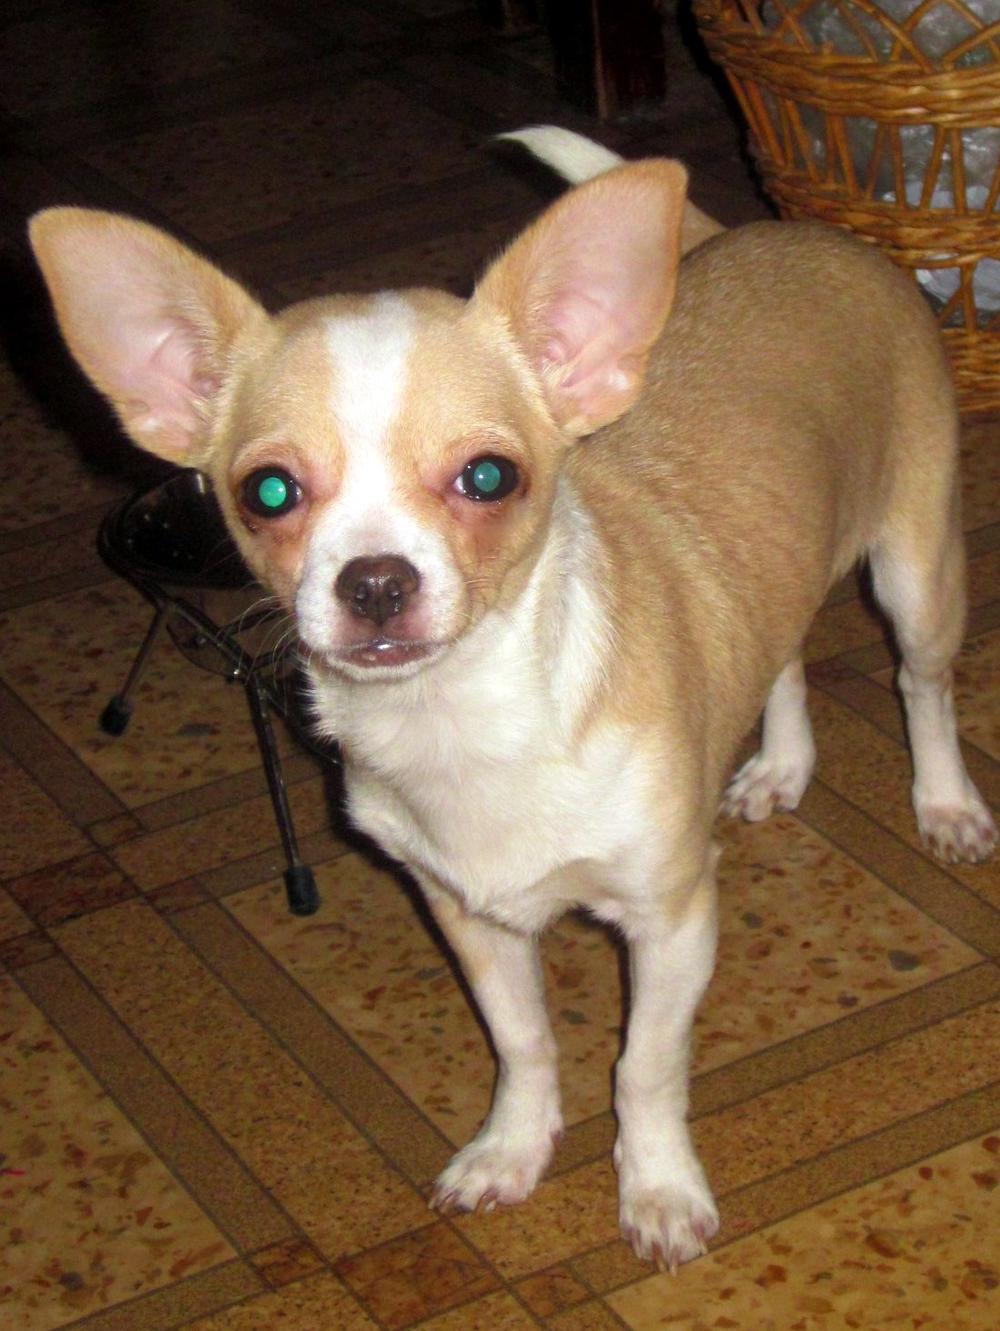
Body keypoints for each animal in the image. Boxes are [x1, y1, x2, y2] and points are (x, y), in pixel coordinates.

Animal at [29, 126, 997, 1272]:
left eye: (488, 477)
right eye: (269, 491)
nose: (374, 580)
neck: (466, 720)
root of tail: (789, 234)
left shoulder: (671, 920)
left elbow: (643, 1067)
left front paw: (657, 1188)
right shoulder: (469, 916)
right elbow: (524, 1040)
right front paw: (513, 1147)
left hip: (914, 571)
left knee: (921, 682)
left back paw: (945, 803)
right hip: (784, 567)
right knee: (784, 653)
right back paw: (780, 765)